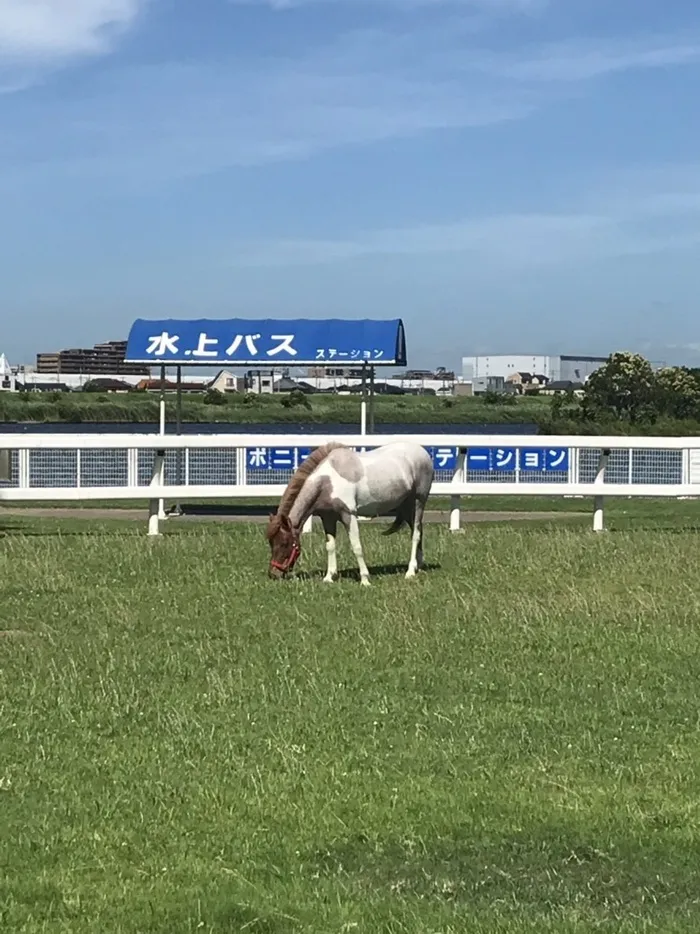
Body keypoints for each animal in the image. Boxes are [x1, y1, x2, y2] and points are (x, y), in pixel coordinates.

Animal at [266, 438, 432, 584]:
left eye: (285, 543)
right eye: (271, 542)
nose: (273, 574)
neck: (328, 481)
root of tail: (423, 452)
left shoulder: (348, 515)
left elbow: (356, 546)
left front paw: (365, 579)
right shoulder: (328, 518)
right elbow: (330, 546)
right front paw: (329, 577)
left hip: (418, 501)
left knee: (416, 535)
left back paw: (410, 571)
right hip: (407, 505)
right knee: (417, 531)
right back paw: (418, 566)